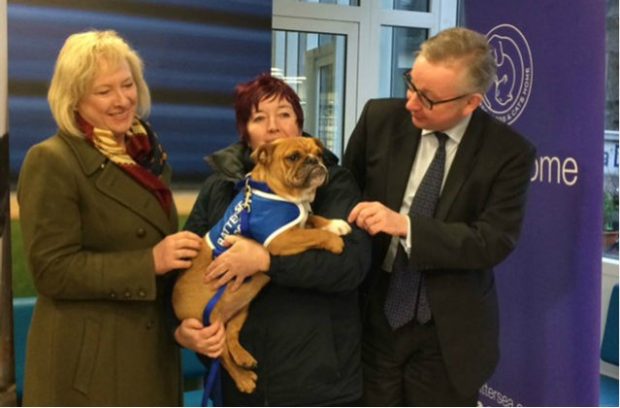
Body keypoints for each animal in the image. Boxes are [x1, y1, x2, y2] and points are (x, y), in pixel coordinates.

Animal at [172, 136, 352, 392]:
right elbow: (313, 234)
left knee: (230, 335)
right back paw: (243, 379)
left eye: (318, 153)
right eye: (293, 157)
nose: (314, 160)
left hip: (242, 307)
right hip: (210, 326)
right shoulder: (281, 239)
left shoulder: (298, 224)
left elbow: (313, 218)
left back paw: (243, 357)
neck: (284, 195)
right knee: (222, 356)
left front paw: (335, 224)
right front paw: (334, 241)